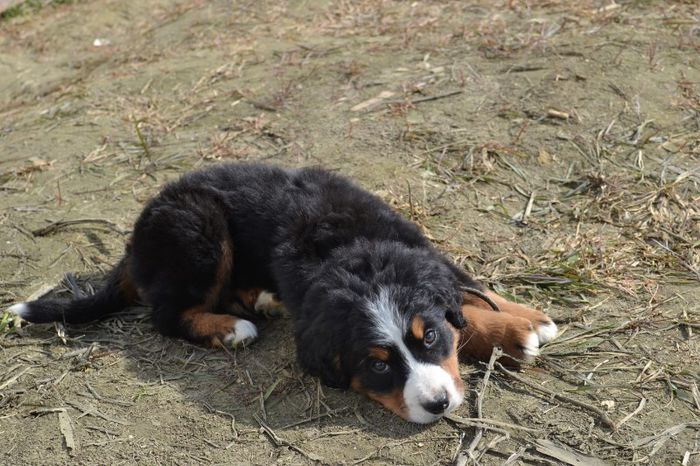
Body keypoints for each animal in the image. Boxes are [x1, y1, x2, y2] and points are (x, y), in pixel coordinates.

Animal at [2, 163, 556, 422]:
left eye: (431, 338)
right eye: (377, 366)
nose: (438, 404)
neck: (349, 245)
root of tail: (135, 239)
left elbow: (467, 291)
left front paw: (521, 323)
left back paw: (260, 299)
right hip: (200, 228)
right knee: (169, 313)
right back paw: (232, 327)